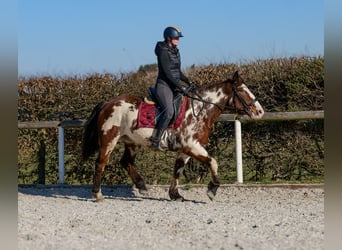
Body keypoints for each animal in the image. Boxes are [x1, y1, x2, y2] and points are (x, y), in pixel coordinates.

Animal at [81, 70, 264, 201]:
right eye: (242, 90)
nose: (260, 112)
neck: (200, 110)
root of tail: (108, 103)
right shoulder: (192, 146)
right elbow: (213, 162)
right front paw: (212, 189)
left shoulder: (187, 149)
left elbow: (178, 169)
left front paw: (175, 195)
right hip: (109, 140)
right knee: (101, 163)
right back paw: (97, 194)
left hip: (132, 142)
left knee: (126, 162)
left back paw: (142, 186)